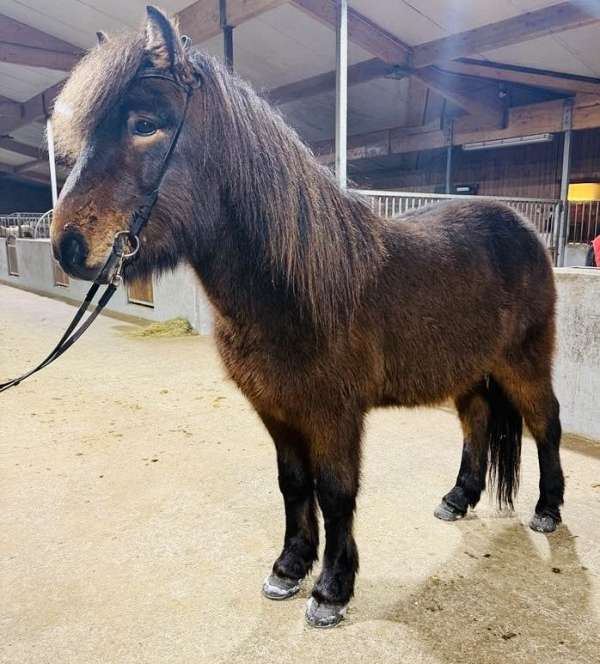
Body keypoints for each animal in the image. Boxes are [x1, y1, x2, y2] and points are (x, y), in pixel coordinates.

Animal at [50, 5, 564, 628]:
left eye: (145, 123)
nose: (68, 247)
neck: (295, 288)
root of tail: (523, 227)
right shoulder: (275, 407)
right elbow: (293, 484)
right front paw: (290, 568)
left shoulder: (333, 413)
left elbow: (336, 490)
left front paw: (332, 590)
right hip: (467, 370)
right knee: (478, 422)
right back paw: (457, 498)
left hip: (525, 362)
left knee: (546, 423)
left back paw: (547, 510)